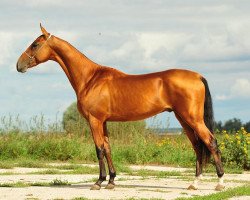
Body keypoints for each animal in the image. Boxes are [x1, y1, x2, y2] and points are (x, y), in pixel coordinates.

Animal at [17, 24, 225, 191]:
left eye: (35, 44)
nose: (19, 65)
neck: (90, 79)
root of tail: (198, 76)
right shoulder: (104, 122)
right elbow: (108, 148)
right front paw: (111, 181)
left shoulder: (94, 120)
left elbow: (99, 149)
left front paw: (98, 182)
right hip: (184, 120)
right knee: (198, 146)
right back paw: (194, 183)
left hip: (193, 119)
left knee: (211, 142)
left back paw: (220, 183)